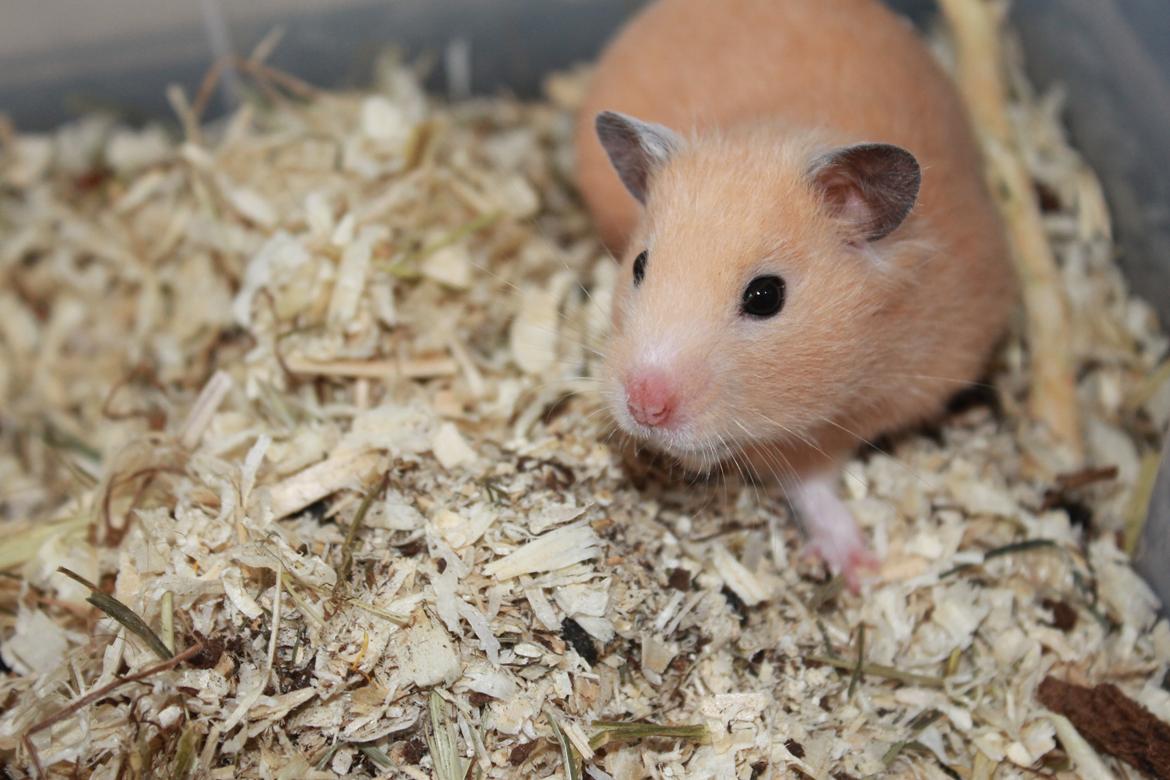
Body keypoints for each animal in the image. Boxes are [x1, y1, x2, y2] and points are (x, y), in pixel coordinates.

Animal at [574, 0, 1016, 588]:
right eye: (640, 265)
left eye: (766, 296)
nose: (644, 406)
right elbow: (809, 487)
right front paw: (862, 572)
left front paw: (862, 570)